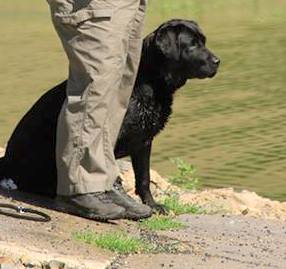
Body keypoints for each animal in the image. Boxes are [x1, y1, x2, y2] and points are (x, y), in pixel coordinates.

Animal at [0, 19, 220, 211]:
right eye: (192, 45)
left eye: (203, 41)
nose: (218, 61)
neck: (148, 82)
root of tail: (7, 161)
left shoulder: (144, 141)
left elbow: (144, 178)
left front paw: (152, 205)